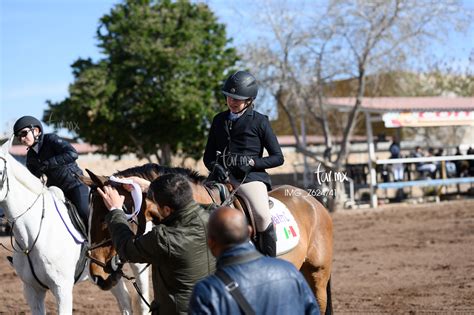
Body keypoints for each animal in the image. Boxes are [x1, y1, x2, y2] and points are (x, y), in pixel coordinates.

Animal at [0, 141, 143, 315]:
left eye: (0, 172)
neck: (32, 238)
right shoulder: (32, 290)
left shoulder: (62, 289)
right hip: (106, 274)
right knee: (124, 300)